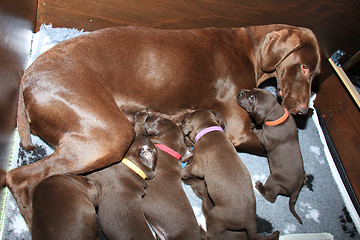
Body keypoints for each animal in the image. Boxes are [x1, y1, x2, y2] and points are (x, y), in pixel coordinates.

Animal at [181, 110, 280, 240]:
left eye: (187, 117)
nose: (181, 121)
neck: (209, 129)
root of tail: (250, 222)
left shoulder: (198, 167)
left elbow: (190, 169)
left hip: (215, 216)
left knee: (210, 235)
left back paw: (201, 229)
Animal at [238, 88, 308, 225]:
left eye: (252, 97)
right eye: (252, 90)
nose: (239, 92)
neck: (277, 115)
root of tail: (296, 189)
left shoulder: (267, 140)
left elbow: (260, 132)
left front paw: (253, 126)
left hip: (274, 180)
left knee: (272, 197)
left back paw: (259, 186)